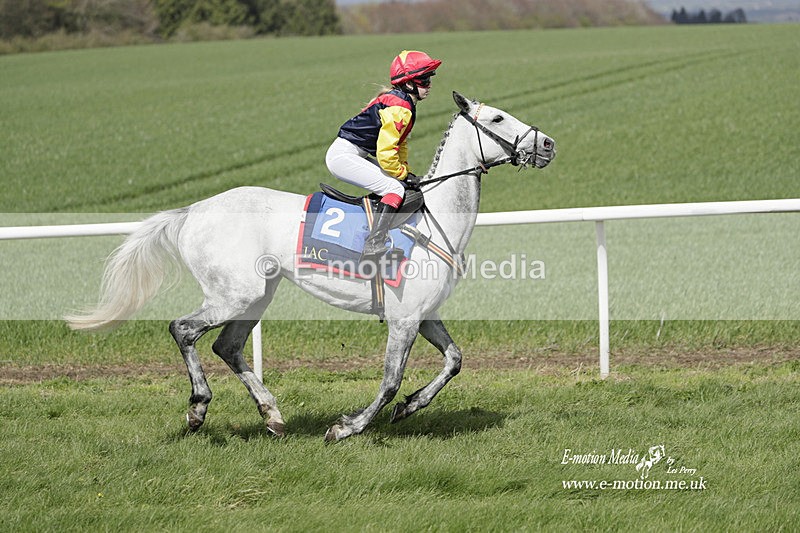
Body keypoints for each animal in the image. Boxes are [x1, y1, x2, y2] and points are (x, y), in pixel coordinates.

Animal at [66, 92, 556, 441]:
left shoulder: (423, 313)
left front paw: (412, 406)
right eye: (498, 119)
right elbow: (390, 380)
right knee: (184, 329)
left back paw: (273, 415)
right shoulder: (404, 318)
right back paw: (198, 408)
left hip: (256, 296)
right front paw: (347, 427)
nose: (548, 144)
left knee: (228, 346)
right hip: (235, 294)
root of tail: (193, 210)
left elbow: (454, 361)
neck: (434, 220)